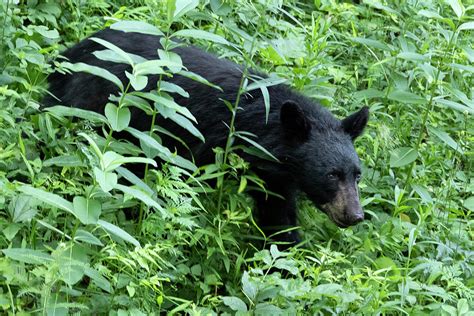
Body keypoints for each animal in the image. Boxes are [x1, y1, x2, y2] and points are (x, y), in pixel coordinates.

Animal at [44, 27, 368, 244]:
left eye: (357, 175)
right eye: (331, 174)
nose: (355, 215)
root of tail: (69, 53)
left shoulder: (274, 178)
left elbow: (279, 217)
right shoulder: (205, 144)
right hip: (94, 108)